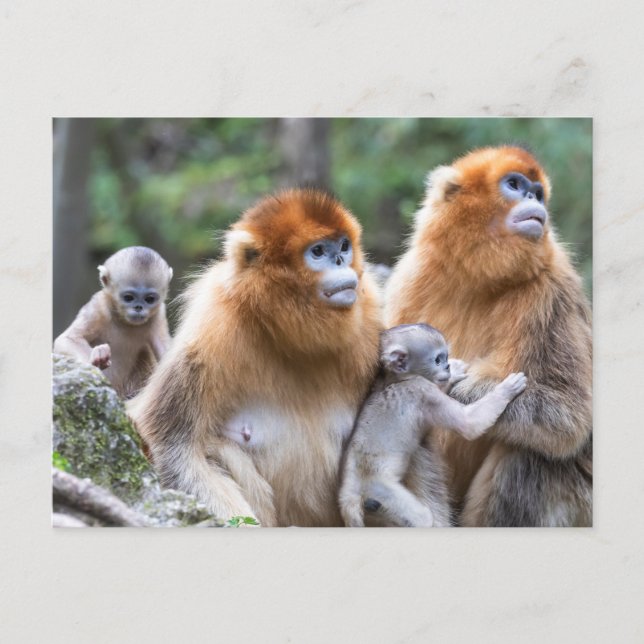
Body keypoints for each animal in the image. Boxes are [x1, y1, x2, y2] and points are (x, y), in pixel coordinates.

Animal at [54, 246, 173, 399]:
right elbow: (66, 339)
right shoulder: (98, 307)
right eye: (128, 297)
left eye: (149, 299)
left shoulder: (159, 314)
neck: (123, 320)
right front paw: (96, 357)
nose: (138, 307)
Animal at [127, 189, 383, 527]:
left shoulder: (372, 317)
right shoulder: (212, 330)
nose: (341, 260)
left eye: (343, 246)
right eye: (318, 251)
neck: (293, 337)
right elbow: (174, 448)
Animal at [339, 323, 527, 528]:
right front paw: (505, 390)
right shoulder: (422, 391)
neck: (396, 380)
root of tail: (349, 496)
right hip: (379, 491)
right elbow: (468, 424)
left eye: (445, 358)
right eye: (438, 360)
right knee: (423, 518)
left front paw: (455, 371)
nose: (447, 366)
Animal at [385, 145, 592, 527]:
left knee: (528, 453)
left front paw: (455, 388)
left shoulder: (554, 288)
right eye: (515, 185)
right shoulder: (411, 275)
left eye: (537, 192)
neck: (481, 278)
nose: (533, 199)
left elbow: (568, 416)